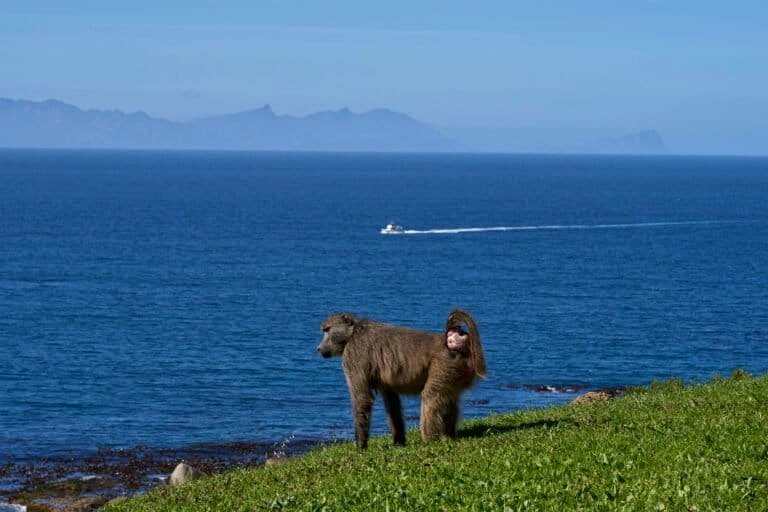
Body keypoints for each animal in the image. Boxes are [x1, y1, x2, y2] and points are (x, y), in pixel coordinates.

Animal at [316, 309, 486, 449]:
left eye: (327, 330)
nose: (319, 348)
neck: (352, 334)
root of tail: (450, 343)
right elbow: (392, 402)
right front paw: (399, 442)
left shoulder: (354, 355)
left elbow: (362, 399)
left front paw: (360, 446)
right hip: (455, 372)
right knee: (448, 399)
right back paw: (448, 437)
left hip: (444, 365)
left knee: (431, 397)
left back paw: (431, 441)